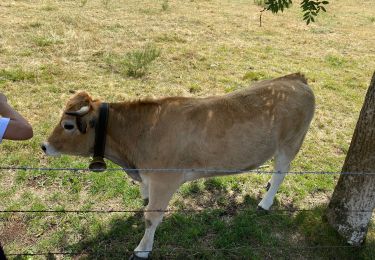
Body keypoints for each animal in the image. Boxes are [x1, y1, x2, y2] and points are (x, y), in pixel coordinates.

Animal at [42, 72, 316, 258]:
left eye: (68, 125)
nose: (44, 146)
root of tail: (295, 79)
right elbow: (146, 201)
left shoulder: (165, 181)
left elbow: (151, 216)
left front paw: (142, 249)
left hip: (290, 144)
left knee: (281, 173)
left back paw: (266, 202)